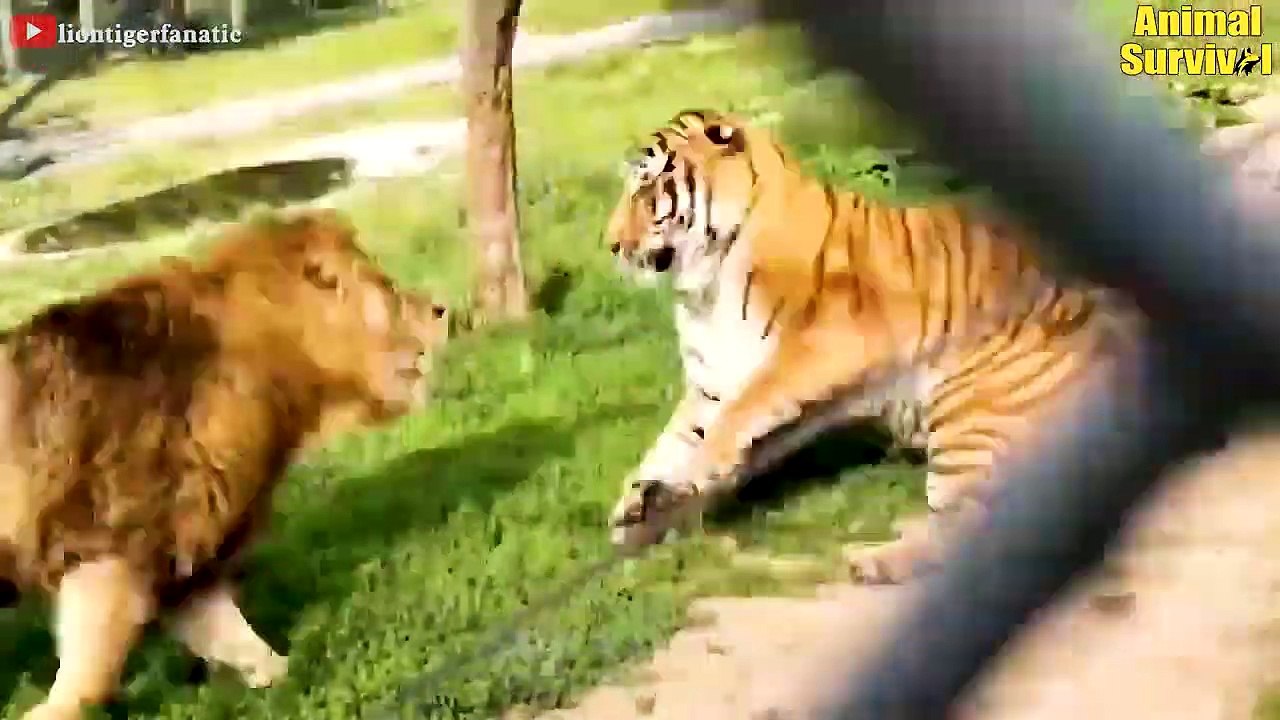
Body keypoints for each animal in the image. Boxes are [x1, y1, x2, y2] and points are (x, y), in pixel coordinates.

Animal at [604, 108, 1138, 583]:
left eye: (647, 188)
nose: (611, 246)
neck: (702, 289)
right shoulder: (713, 384)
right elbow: (675, 442)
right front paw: (640, 504)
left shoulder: (824, 346)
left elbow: (740, 412)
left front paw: (693, 475)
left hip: (969, 407)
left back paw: (874, 562)